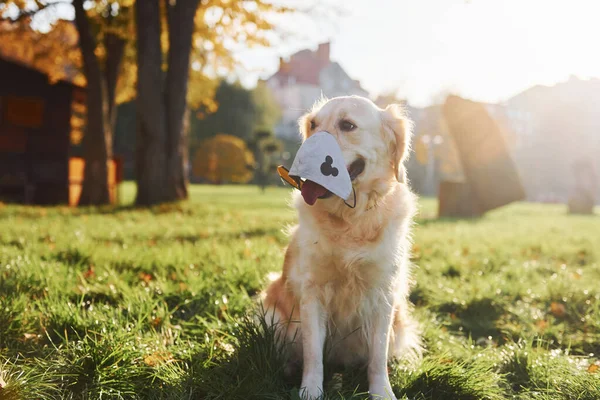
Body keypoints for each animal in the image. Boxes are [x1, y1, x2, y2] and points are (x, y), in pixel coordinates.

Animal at [262, 95, 422, 398]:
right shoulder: (312, 292)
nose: (305, 158)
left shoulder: (383, 295)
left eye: (347, 125)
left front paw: (381, 392)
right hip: (273, 315)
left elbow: (377, 357)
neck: (350, 219)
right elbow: (313, 354)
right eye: (313, 125)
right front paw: (311, 390)